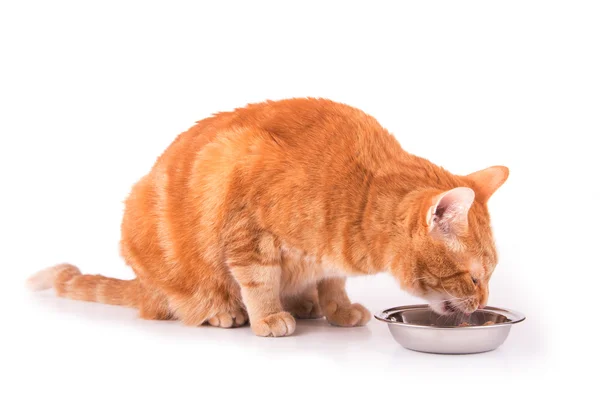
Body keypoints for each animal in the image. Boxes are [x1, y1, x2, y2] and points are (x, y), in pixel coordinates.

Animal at [27, 98, 506, 338]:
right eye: (475, 277)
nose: (483, 303)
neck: (361, 191)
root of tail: (142, 289)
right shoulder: (248, 230)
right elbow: (257, 282)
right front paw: (267, 317)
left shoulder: (327, 259)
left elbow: (332, 282)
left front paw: (336, 308)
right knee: (185, 302)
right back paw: (223, 311)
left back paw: (305, 303)